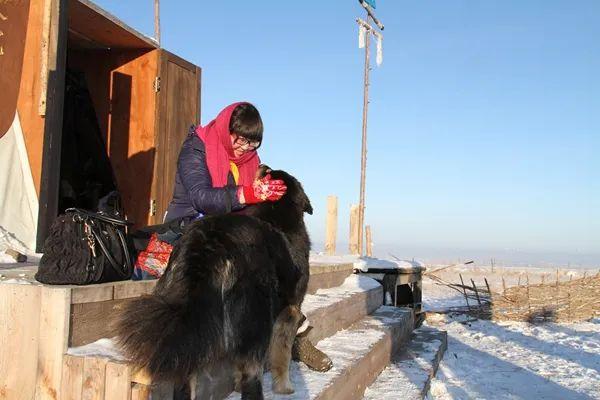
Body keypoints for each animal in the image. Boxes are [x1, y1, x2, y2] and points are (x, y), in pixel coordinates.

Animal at [118, 170, 314, 400]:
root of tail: (211, 241)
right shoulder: (290, 311)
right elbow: (282, 355)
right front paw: (284, 387)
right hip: (256, 322)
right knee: (251, 373)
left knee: (184, 373)